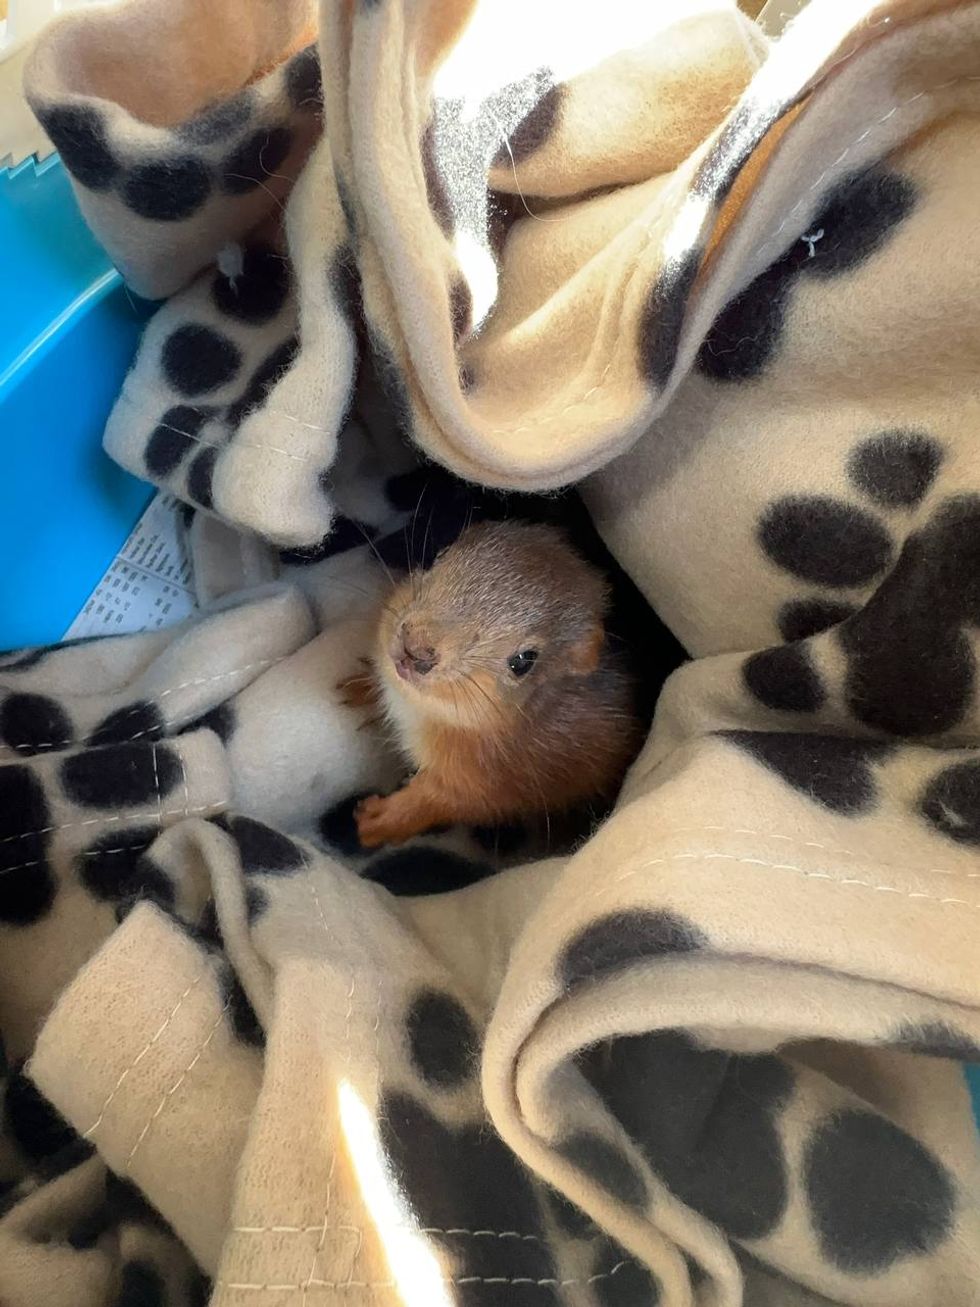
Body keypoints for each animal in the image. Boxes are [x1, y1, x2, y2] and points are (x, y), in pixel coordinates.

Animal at [338, 520, 642, 849]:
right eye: (439, 556)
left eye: (523, 661)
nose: (415, 649)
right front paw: (362, 688)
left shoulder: (485, 783)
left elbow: (432, 801)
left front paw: (378, 821)